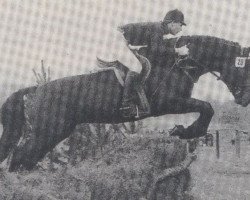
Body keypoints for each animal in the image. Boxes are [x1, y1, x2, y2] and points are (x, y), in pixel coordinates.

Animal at [1, 34, 250, 170]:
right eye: (244, 69)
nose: (245, 100)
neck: (180, 63)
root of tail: (36, 89)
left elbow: (206, 108)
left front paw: (181, 130)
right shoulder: (169, 103)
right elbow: (207, 108)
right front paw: (184, 131)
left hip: (56, 131)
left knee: (26, 158)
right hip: (48, 130)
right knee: (21, 156)